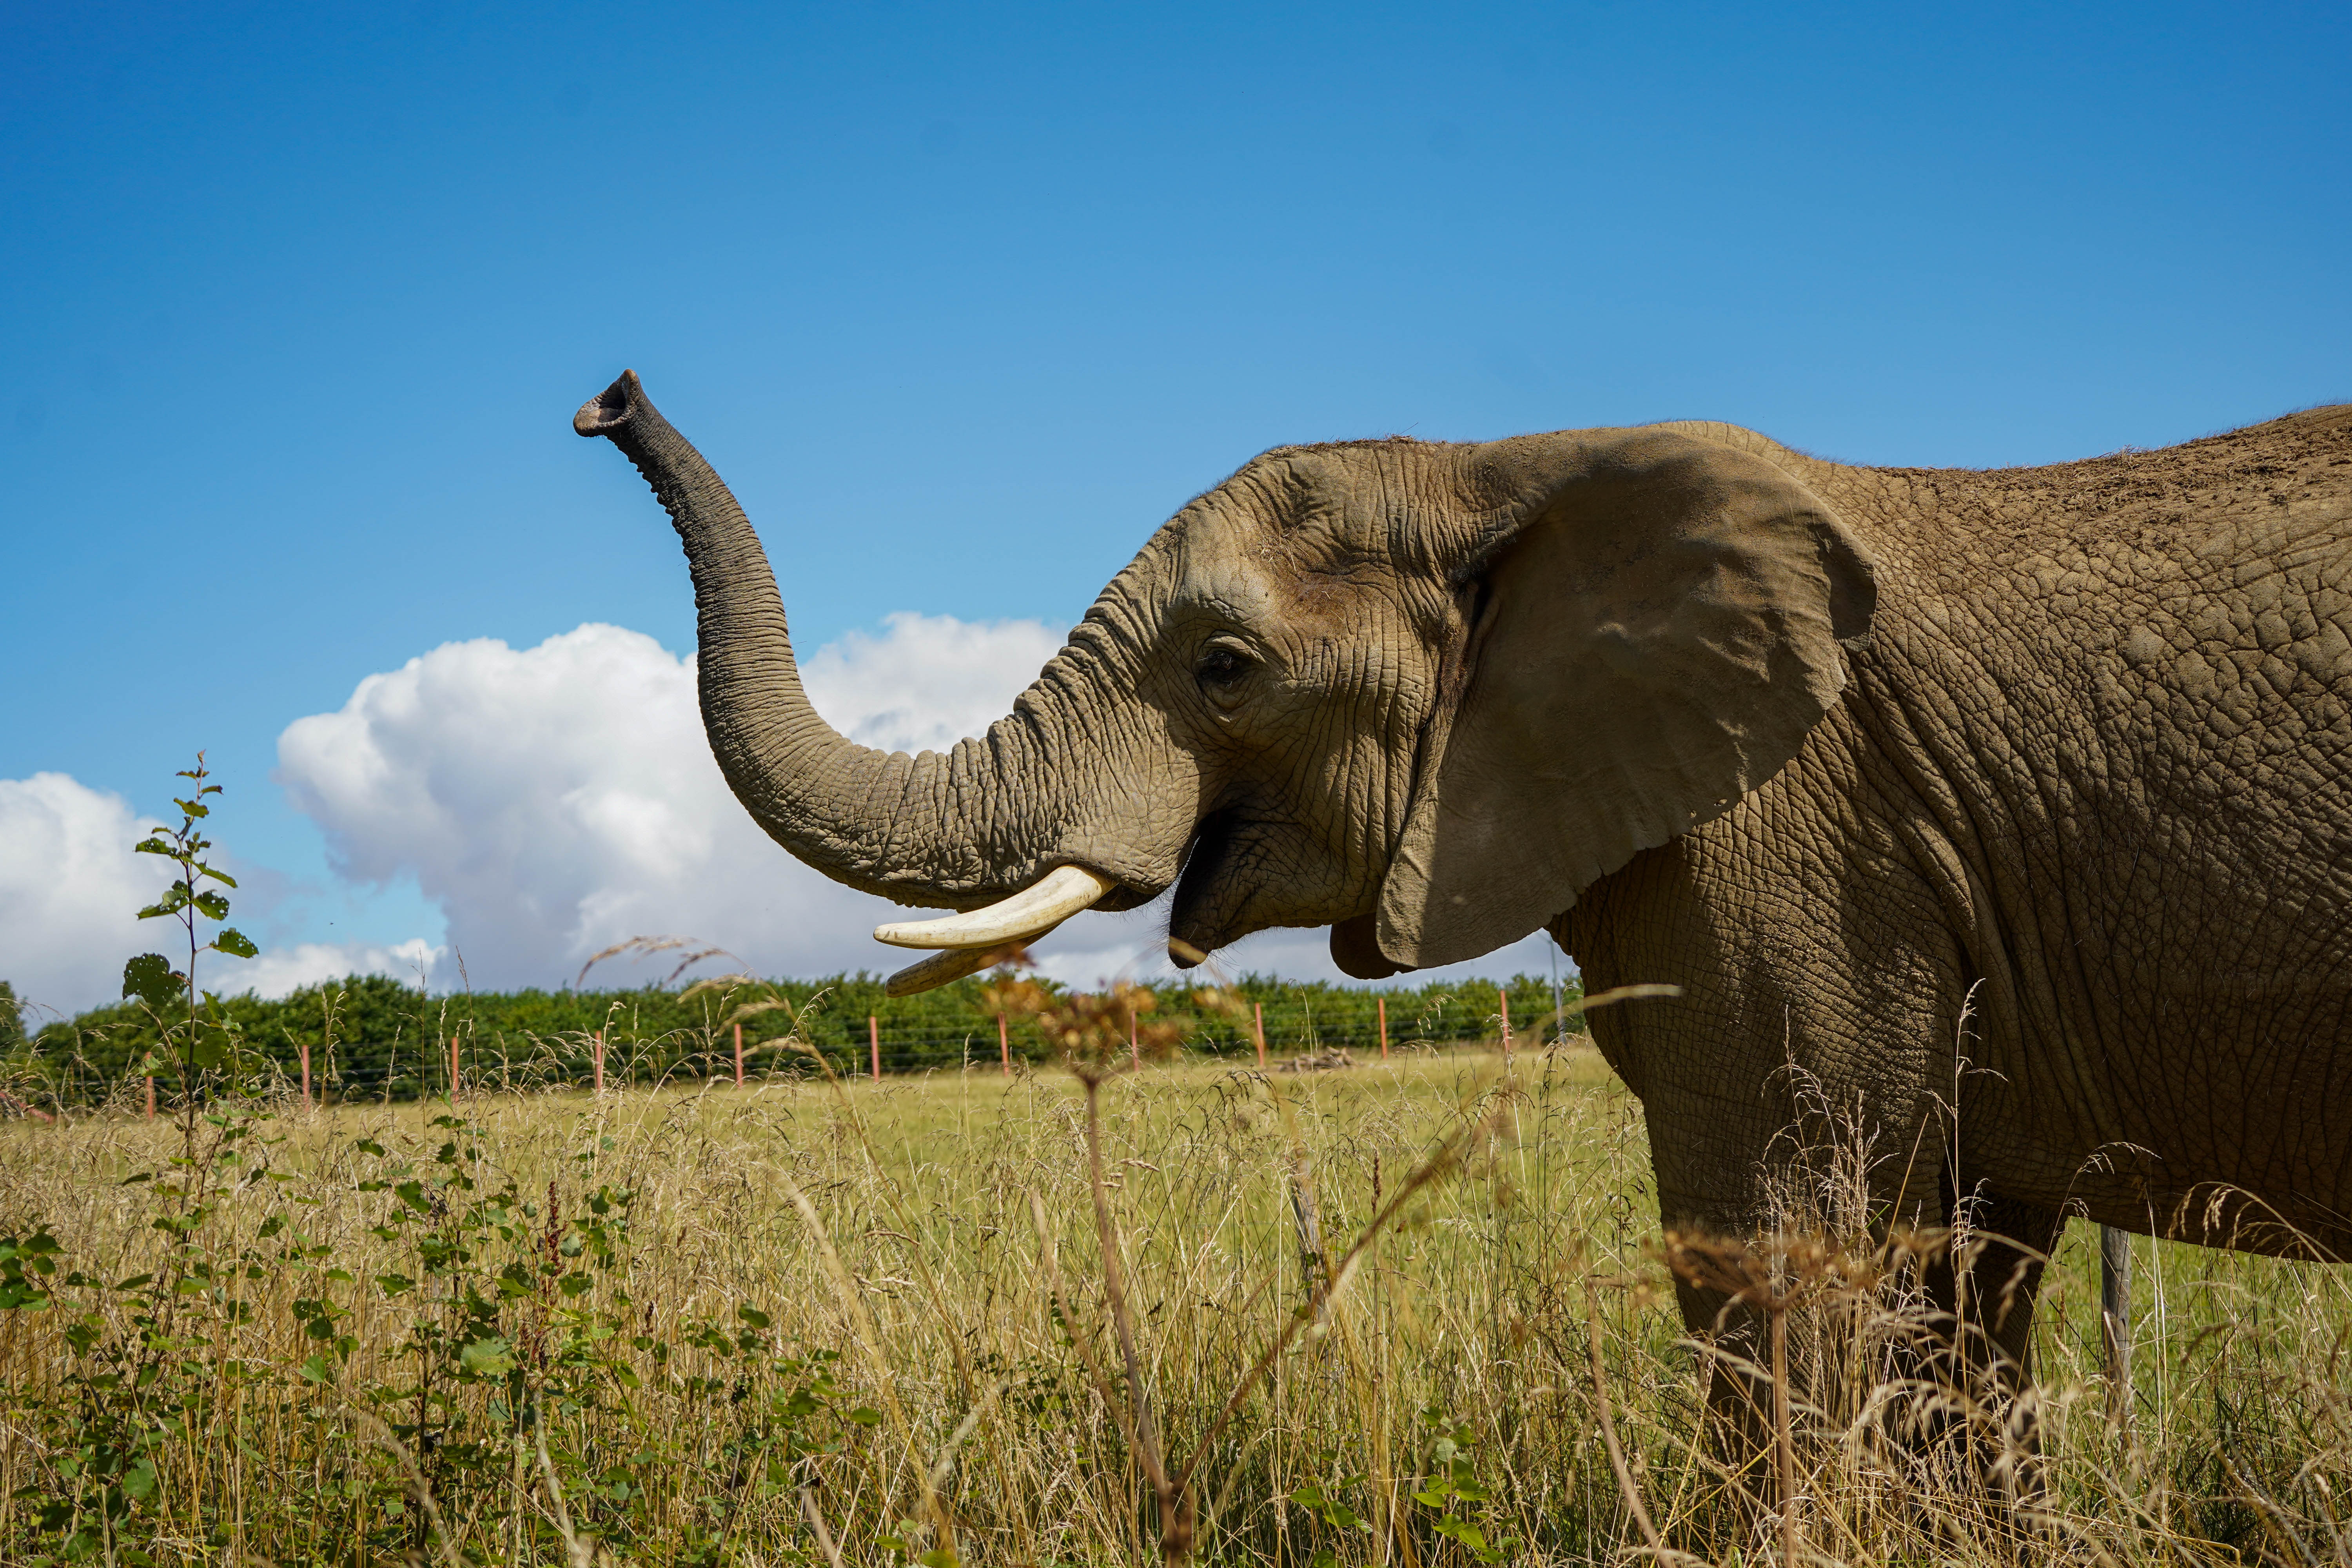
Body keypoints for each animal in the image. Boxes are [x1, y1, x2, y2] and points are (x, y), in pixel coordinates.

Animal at [575, 370, 2350, 1453]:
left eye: (1226, 669)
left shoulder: (1805, 838)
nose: (606, 398)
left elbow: (1777, 1249)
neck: (1505, 470)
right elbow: (1957, 1295)